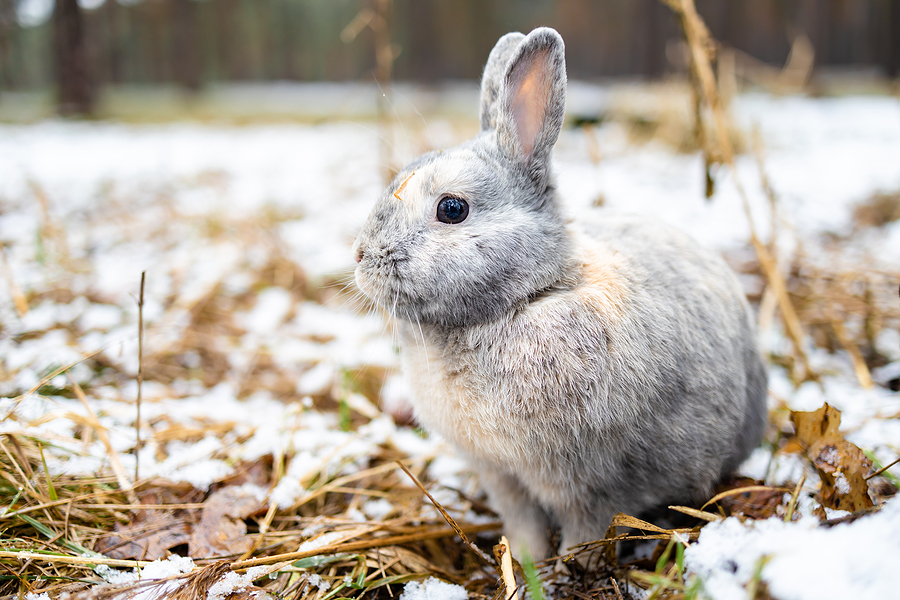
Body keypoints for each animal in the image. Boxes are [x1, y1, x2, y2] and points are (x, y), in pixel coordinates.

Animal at [352, 27, 768, 564]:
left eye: (452, 208)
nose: (361, 257)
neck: (528, 295)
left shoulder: (584, 480)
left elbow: (585, 526)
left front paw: (569, 565)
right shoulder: (500, 475)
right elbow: (522, 520)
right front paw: (524, 559)